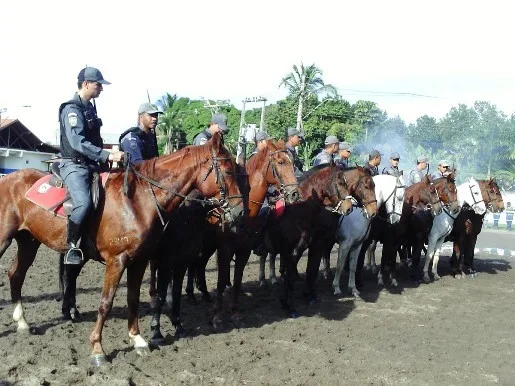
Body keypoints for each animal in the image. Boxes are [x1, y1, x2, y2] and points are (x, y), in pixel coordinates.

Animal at [0, 133, 244, 364]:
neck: (138, 200)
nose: (240, 211)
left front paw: (137, 339)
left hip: (29, 242)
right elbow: (105, 303)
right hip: (5, 240)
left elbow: (133, 298)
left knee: (16, 275)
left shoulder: (140, 261)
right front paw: (98, 349)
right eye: (228, 170)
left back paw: (22, 322)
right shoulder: (117, 261)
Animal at [148, 139, 302, 340]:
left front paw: (235, 313)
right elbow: (221, 282)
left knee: (197, 265)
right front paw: (217, 317)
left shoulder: (243, 251)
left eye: (293, 162)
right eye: (280, 162)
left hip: (205, 246)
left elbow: (236, 281)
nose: (295, 194)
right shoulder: (224, 250)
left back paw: (198, 293)